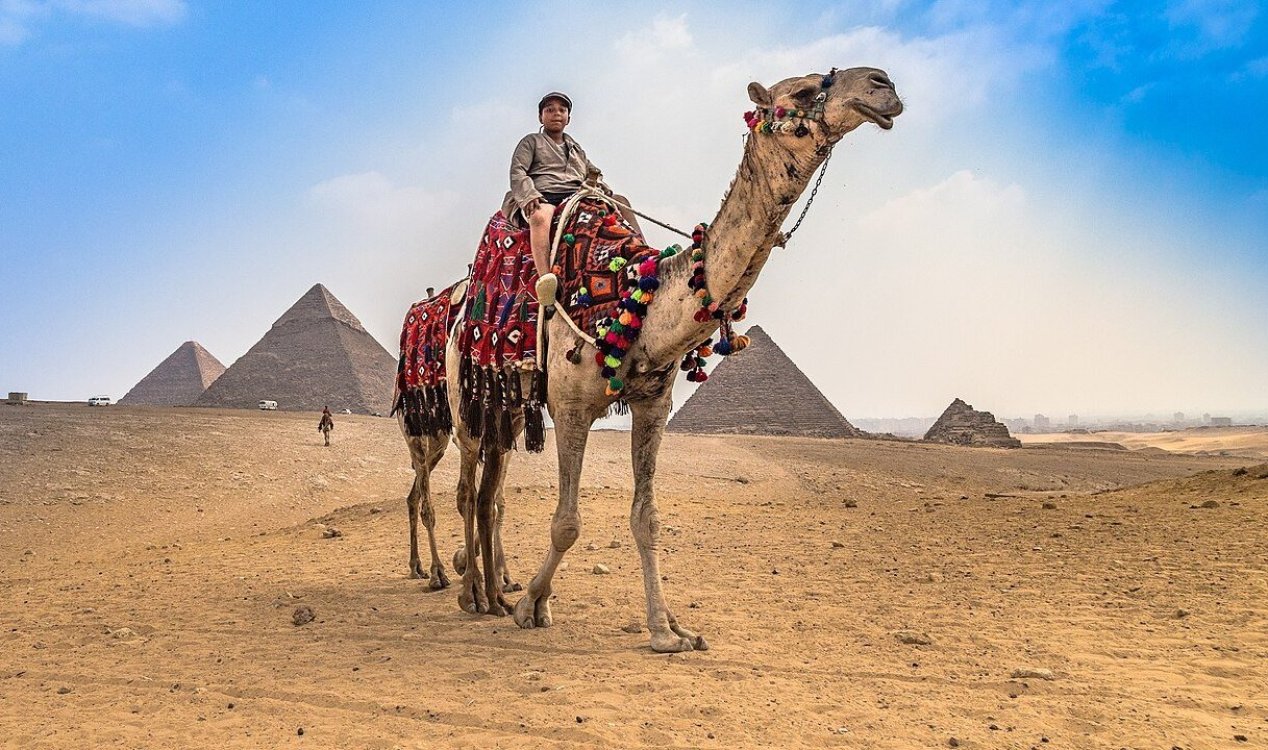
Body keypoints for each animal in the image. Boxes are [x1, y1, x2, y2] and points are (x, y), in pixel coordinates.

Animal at [401, 67, 902, 652]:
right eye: (800, 91)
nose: (882, 85)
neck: (633, 295)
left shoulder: (652, 406)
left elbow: (647, 519)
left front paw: (668, 629)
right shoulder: (571, 407)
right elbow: (567, 522)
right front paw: (534, 605)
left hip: (505, 408)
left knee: (488, 496)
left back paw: (492, 592)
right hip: (463, 403)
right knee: (462, 490)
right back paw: (467, 592)